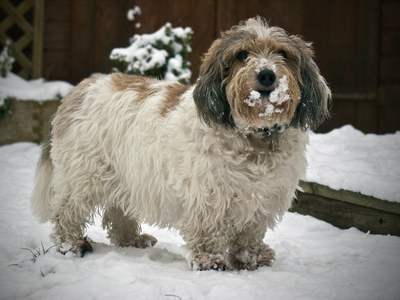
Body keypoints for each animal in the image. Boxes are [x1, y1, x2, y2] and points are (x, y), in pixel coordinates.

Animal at [32, 17, 332, 272]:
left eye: (283, 53)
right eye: (242, 55)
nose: (267, 75)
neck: (253, 137)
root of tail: (79, 89)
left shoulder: (262, 200)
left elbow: (249, 234)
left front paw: (252, 258)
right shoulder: (209, 196)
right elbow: (208, 231)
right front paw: (209, 260)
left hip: (124, 176)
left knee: (118, 213)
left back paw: (132, 240)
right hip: (82, 177)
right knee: (67, 212)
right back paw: (72, 245)